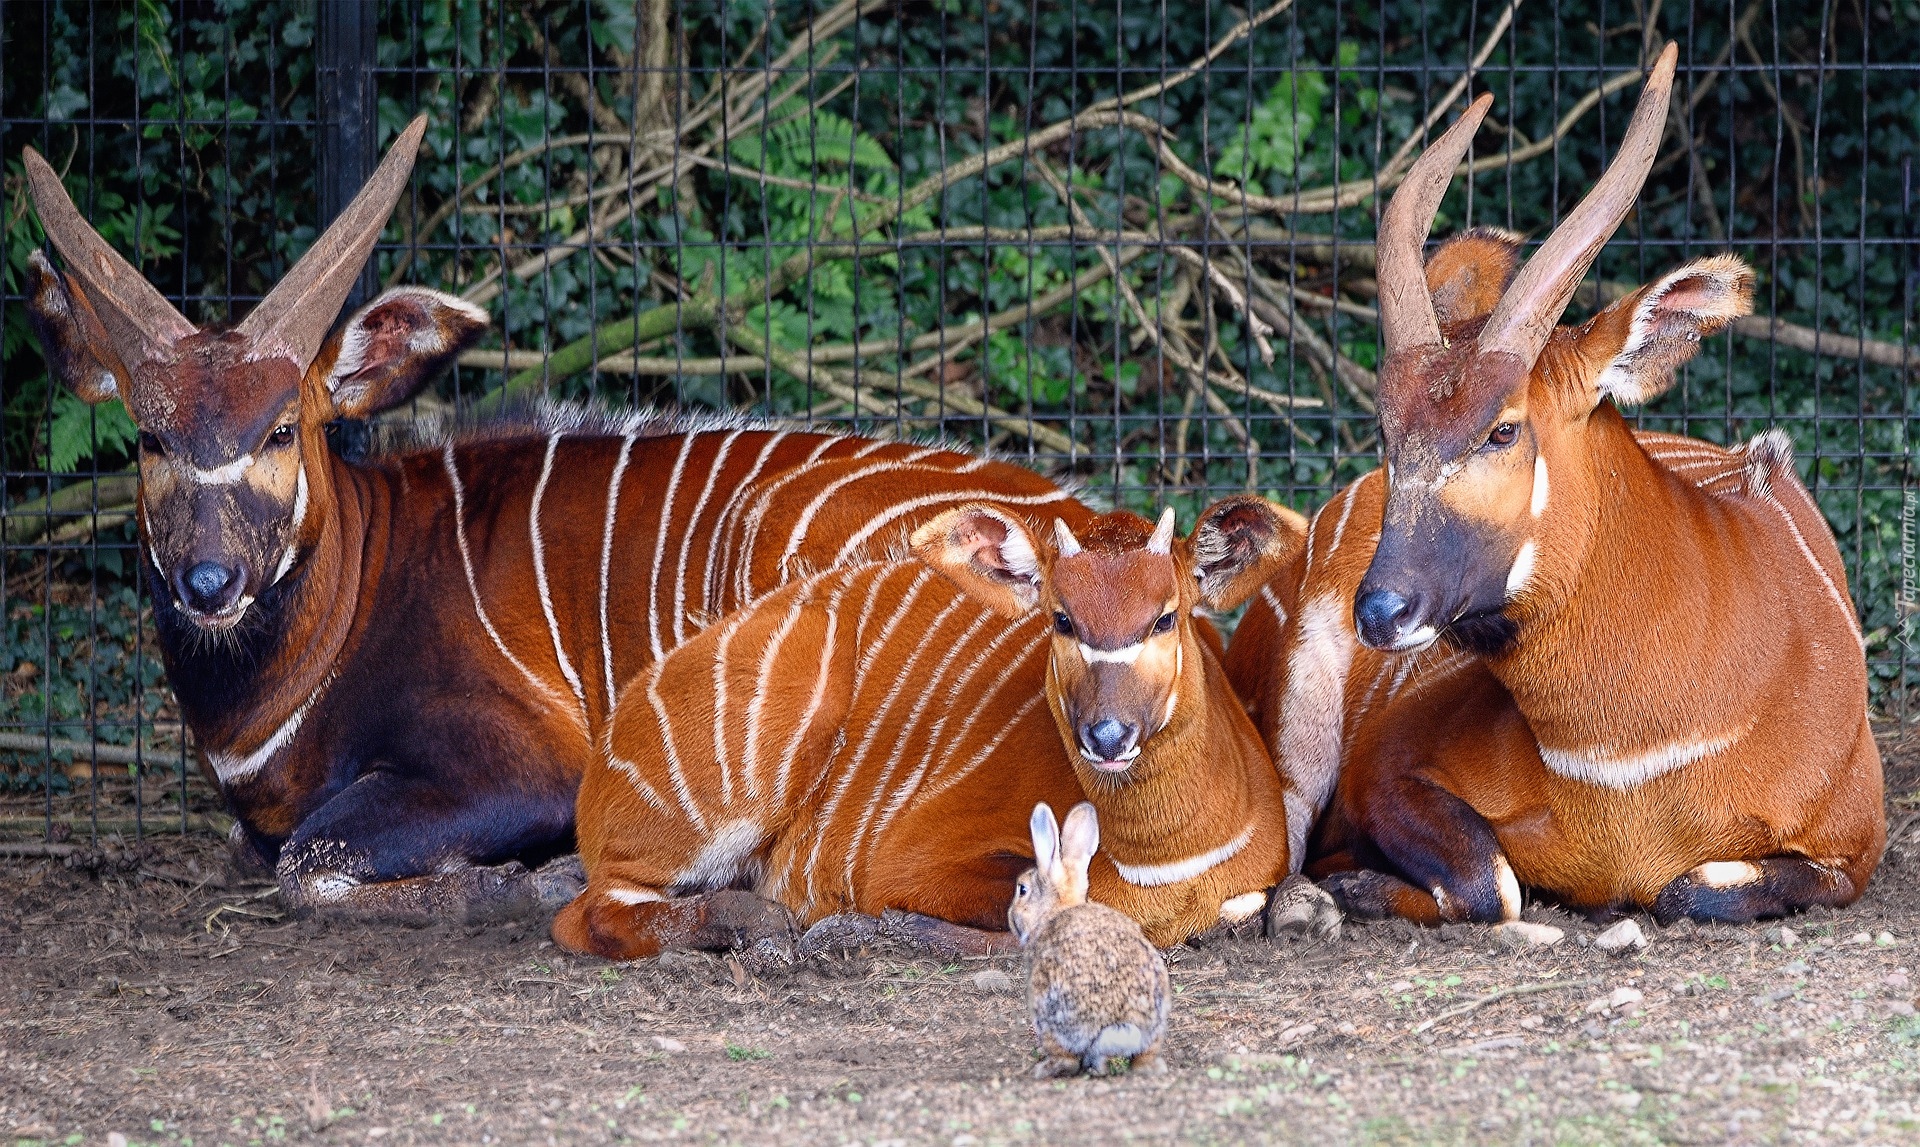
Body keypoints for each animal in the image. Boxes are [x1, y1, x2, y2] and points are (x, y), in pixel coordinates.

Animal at [22, 116, 1098, 918]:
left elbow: (310, 864)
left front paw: (515, 880)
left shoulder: (527, 763)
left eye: (285, 426)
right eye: (151, 437)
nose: (209, 582)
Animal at [549, 495, 1313, 952]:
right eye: (1061, 618)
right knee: (585, 911)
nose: (1107, 736)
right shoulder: (912, 860)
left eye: (1166, 615)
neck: (1162, 860)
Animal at [1006, 799, 1167, 1075]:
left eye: (1022, 890)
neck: (1057, 909)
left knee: (1070, 1060)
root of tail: (1124, 1025)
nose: (1009, 917)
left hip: (1052, 1017)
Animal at [1228, 44, 1873, 926]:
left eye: (1503, 428)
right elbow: (1492, 882)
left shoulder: (1854, 849)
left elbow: (1690, 889)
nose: (1382, 609)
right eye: (1388, 434)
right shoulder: (1387, 773)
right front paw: (1351, 884)